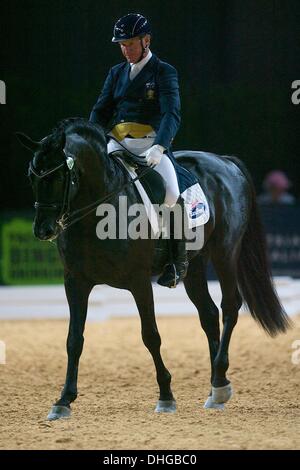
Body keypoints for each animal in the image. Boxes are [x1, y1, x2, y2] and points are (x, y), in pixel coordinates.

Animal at [17, 119, 290, 420]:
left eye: (58, 177)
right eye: (32, 177)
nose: (43, 230)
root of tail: (225, 161)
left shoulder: (138, 281)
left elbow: (150, 336)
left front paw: (166, 396)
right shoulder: (75, 282)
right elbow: (74, 340)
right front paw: (63, 400)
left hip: (224, 252)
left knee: (229, 306)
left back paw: (219, 384)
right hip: (194, 264)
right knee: (208, 314)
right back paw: (215, 390)